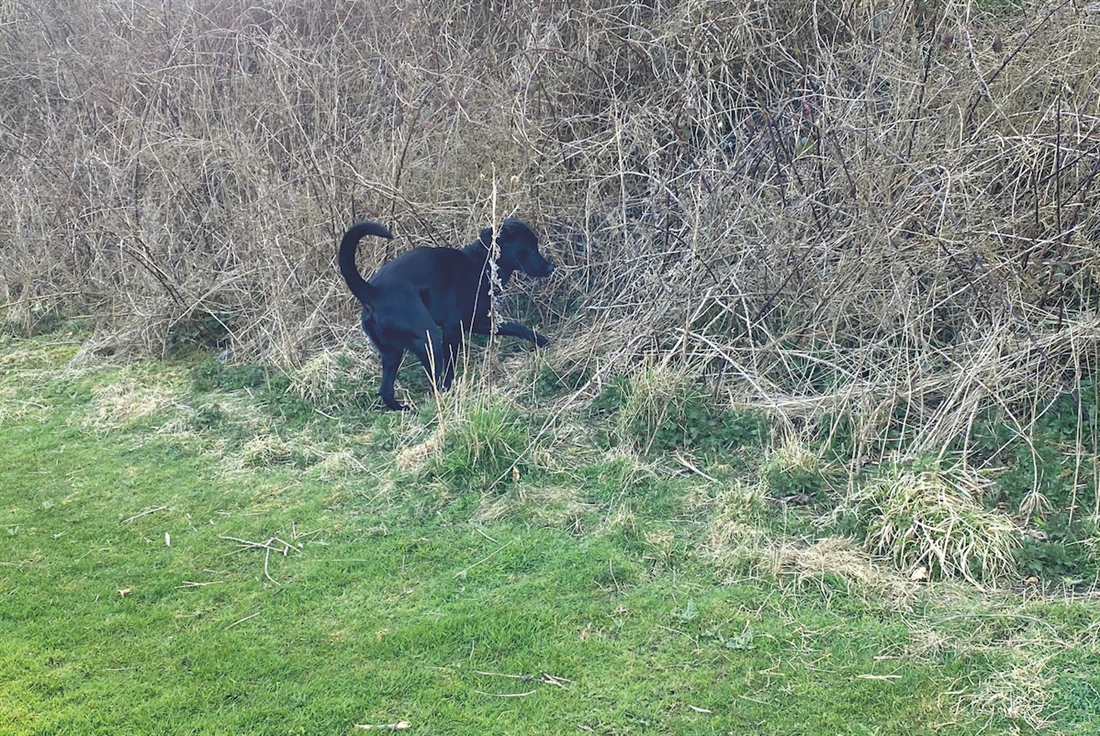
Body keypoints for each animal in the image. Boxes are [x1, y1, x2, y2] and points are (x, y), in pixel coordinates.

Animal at [334, 217, 554, 411]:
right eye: (530, 248)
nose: (551, 268)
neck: (481, 265)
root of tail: (373, 292)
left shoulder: (478, 322)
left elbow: (516, 327)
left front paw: (541, 340)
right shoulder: (453, 329)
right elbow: (450, 366)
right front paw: (452, 388)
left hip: (392, 354)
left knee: (386, 391)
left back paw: (405, 409)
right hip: (429, 340)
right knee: (433, 381)